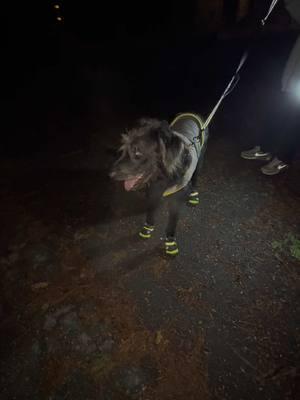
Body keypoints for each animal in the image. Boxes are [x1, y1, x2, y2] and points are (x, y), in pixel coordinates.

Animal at [110, 112, 209, 256]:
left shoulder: (175, 200)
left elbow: (172, 223)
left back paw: (193, 195)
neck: (162, 178)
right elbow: (151, 212)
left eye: (137, 152)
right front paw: (148, 228)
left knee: (195, 180)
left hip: (199, 162)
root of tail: (193, 113)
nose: (110, 174)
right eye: (124, 149)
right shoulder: (152, 192)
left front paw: (170, 242)